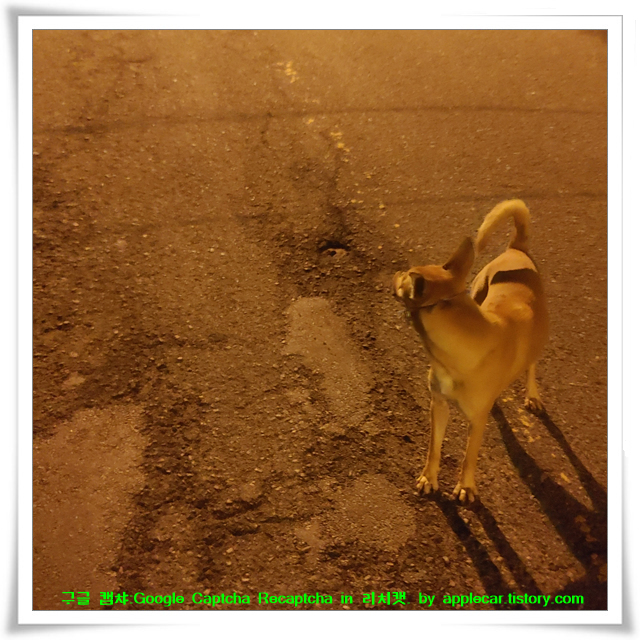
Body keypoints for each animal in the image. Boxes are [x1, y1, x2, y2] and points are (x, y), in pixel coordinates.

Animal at [392, 200, 548, 502]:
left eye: (404, 277)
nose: (396, 272)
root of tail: (517, 248)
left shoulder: (477, 421)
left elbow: (469, 456)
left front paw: (466, 486)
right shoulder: (438, 405)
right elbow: (434, 448)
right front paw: (429, 478)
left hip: (539, 335)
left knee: (532, 365)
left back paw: (533, 394)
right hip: (479, 289)